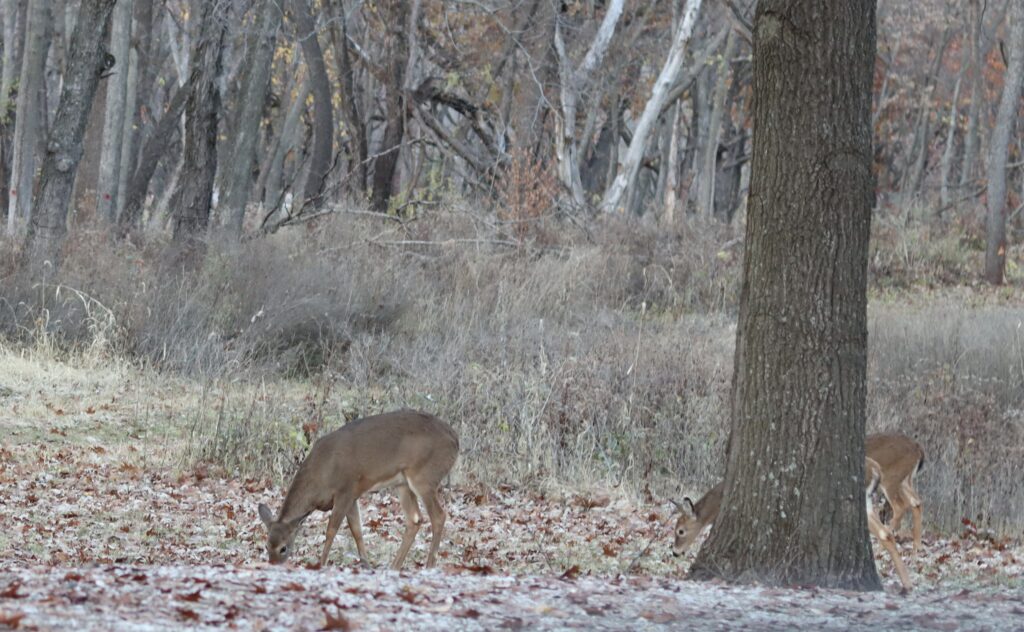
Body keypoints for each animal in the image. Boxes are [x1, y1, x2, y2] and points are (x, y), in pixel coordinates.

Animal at [257, 410, 459, 570]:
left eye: (283, 548)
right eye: (266, 546)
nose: (272, 565)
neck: (320, 475)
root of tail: (455, 440)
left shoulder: (346, 489)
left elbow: (331, 530)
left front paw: (320, 564)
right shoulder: (352, 496)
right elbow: (357, 531)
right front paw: (366, 564)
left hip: (424, 477)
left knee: (439, 516)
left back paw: (429, 565)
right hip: (402, 483)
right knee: (415, 519)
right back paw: (394, 567)